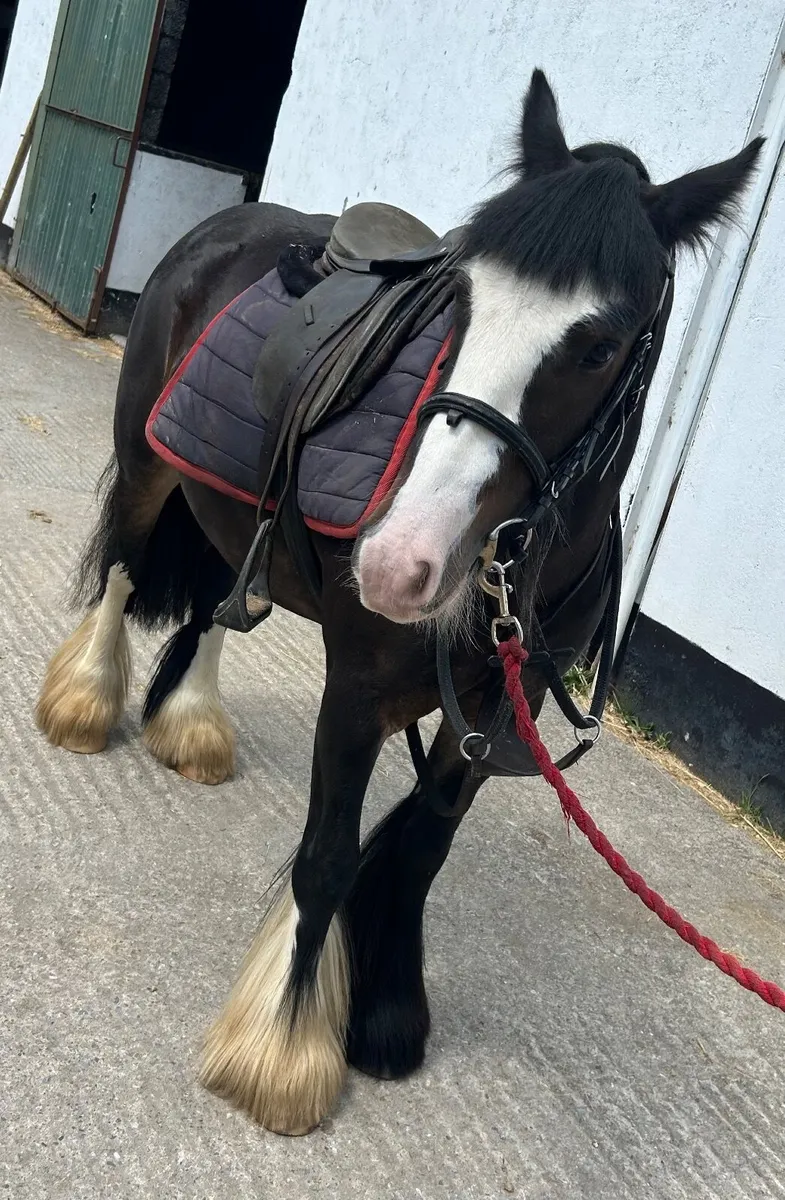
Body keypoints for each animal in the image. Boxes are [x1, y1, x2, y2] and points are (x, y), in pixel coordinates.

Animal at [35, 70, 762, 1135]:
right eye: (459, 300)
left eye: (598, 346)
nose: (397, 562)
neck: (510, 570)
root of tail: (227, 223)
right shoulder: (356, 696)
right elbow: (329, 859)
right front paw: (282, 1053)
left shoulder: (499, 711)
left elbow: (418, 849)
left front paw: (382, 1012)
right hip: (144, 469)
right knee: (126, 572)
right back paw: (86, 703)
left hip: (229, 514)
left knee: (214, 606)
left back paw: (192, 724)